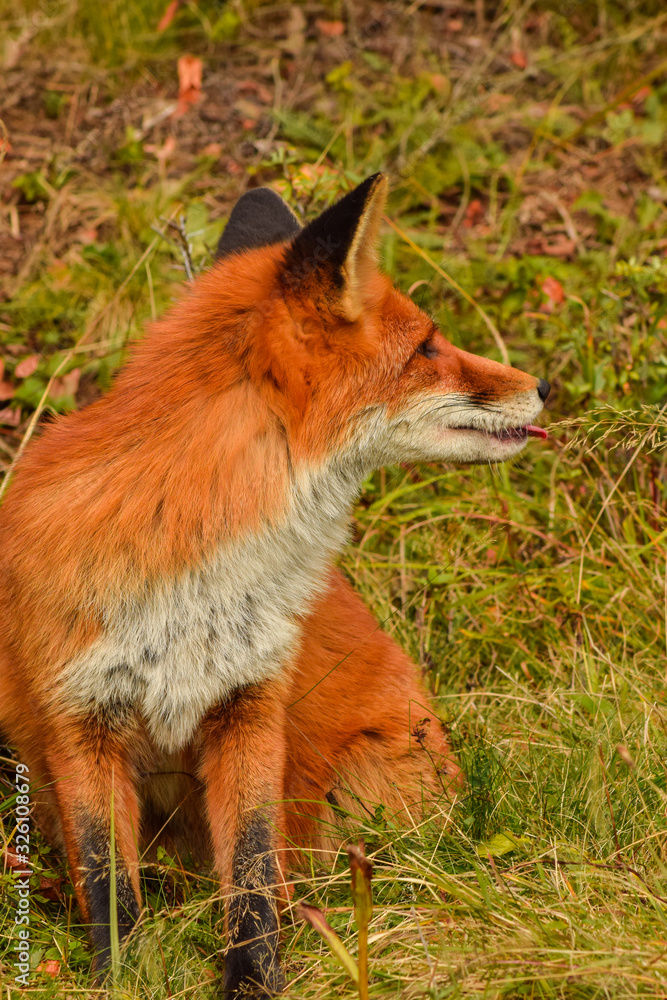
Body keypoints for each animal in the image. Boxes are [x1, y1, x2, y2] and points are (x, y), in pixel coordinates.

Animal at [0, 173, 549, 996]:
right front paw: (122, 978)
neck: (193, 571)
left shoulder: (250, 705)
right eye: (426, 346)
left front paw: (256, 980)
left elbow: (254, 874)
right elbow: (109, 887)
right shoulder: (78, 723)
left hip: (368, 783)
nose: (543, 384)